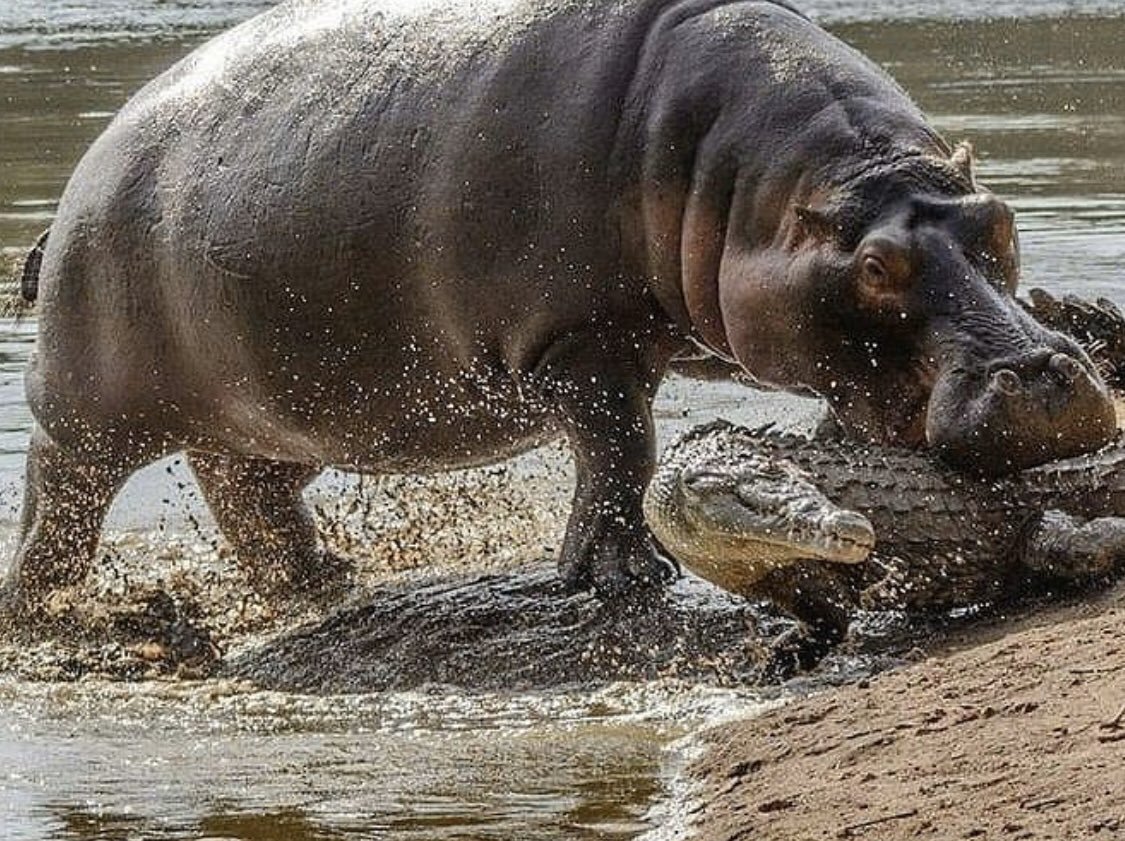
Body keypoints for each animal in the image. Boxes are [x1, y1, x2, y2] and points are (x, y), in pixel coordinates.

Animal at [1, 0, 1114, 623]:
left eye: (1000, 218)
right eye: (878, 266)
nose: (1049, 376)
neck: (756, 185)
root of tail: (76, 188)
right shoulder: (579, 341)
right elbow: (621, 445)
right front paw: (622, 578)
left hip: (282, 409)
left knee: (248, 490)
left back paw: (326, 583)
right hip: (87, 409)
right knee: (62, 499)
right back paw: (45, 616)